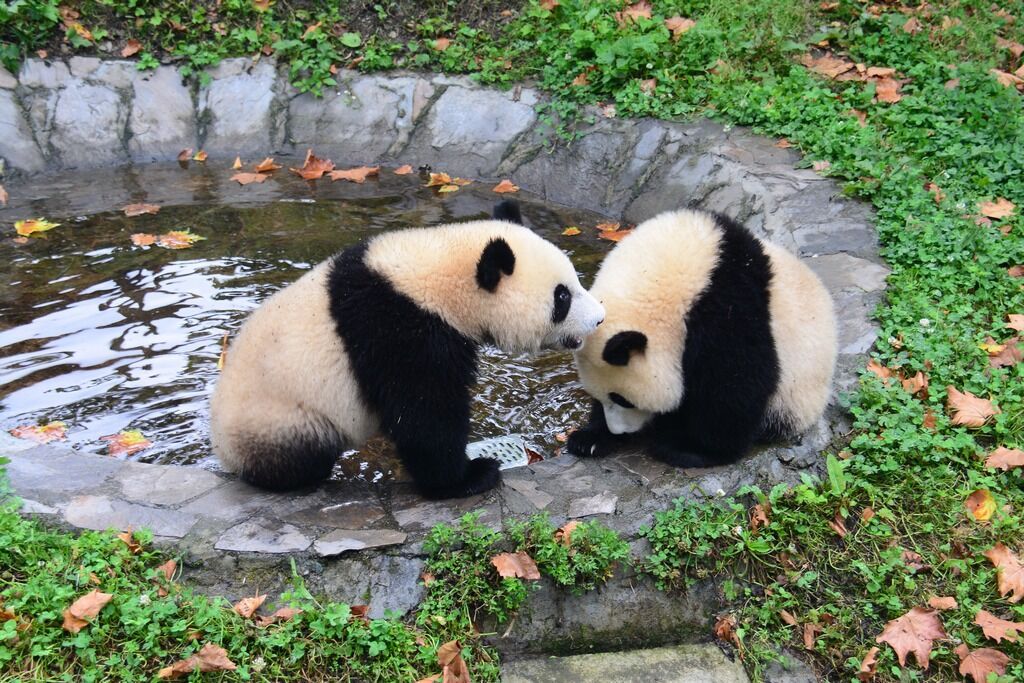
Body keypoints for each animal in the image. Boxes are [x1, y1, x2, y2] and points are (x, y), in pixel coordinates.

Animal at [211, 201, 605, 499]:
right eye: (562, 297)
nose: (599, 318)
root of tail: (223, 449)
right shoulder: (400, 332)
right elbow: (424, 412)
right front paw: (468, 477)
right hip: (284, 420)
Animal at [567, 208, 837, 468]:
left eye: (622, 399)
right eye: (603, 397)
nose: (619, 431)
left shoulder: (729, 309)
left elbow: (735, 382)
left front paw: (692, 450)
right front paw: (590, 439)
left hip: (794, 396)